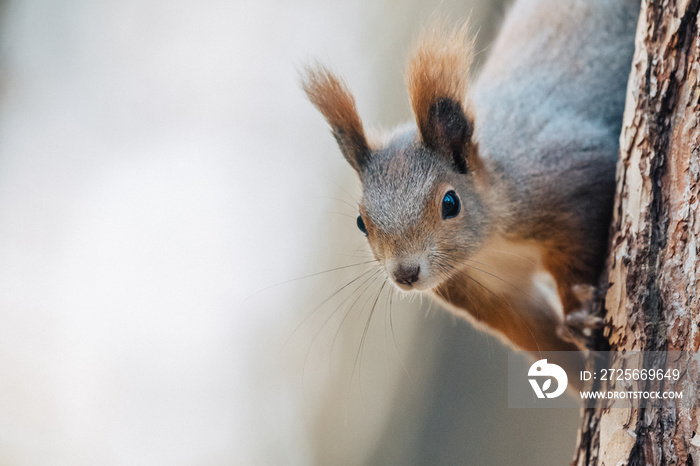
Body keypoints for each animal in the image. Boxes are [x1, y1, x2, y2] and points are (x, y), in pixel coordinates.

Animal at [300, 0, 640, 364]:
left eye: (451, 203)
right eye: (361, 222)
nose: (405, 274)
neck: (490, 244)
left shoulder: (574, 184)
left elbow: (581, 259)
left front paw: (582, 317)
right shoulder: (487, 291)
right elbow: (537, 334)